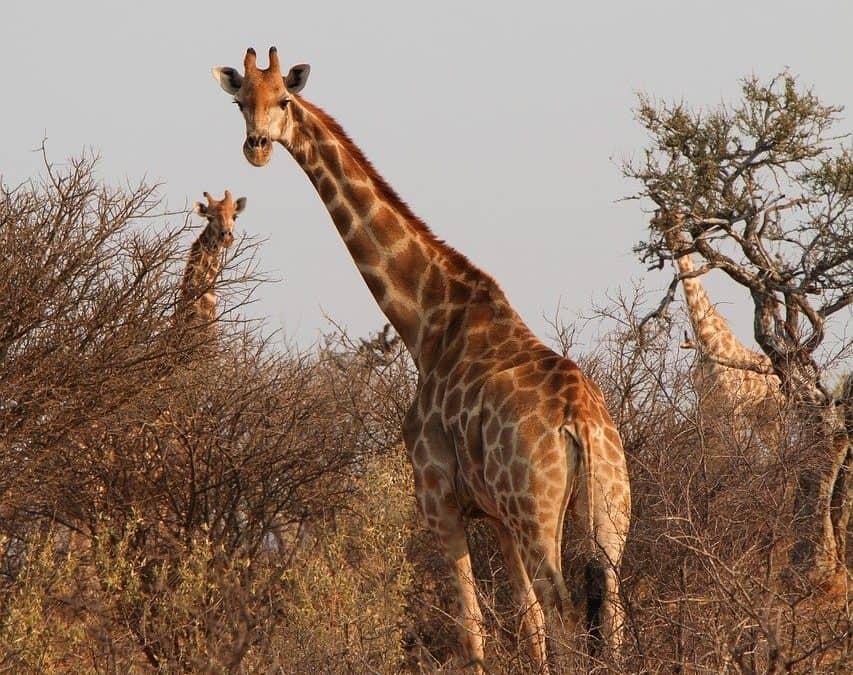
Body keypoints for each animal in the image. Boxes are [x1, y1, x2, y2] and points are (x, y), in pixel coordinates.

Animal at [211, 46, 628, 672]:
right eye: (241, 102)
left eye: (283, 99)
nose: (256, 146)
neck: (427, 322)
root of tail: (581, 419)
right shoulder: (495, 514)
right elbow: (525, 628)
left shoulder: (438, 497)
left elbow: (472, 632)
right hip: (607, 509)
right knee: (610, 610)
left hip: (538, 509)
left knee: (567, 614)